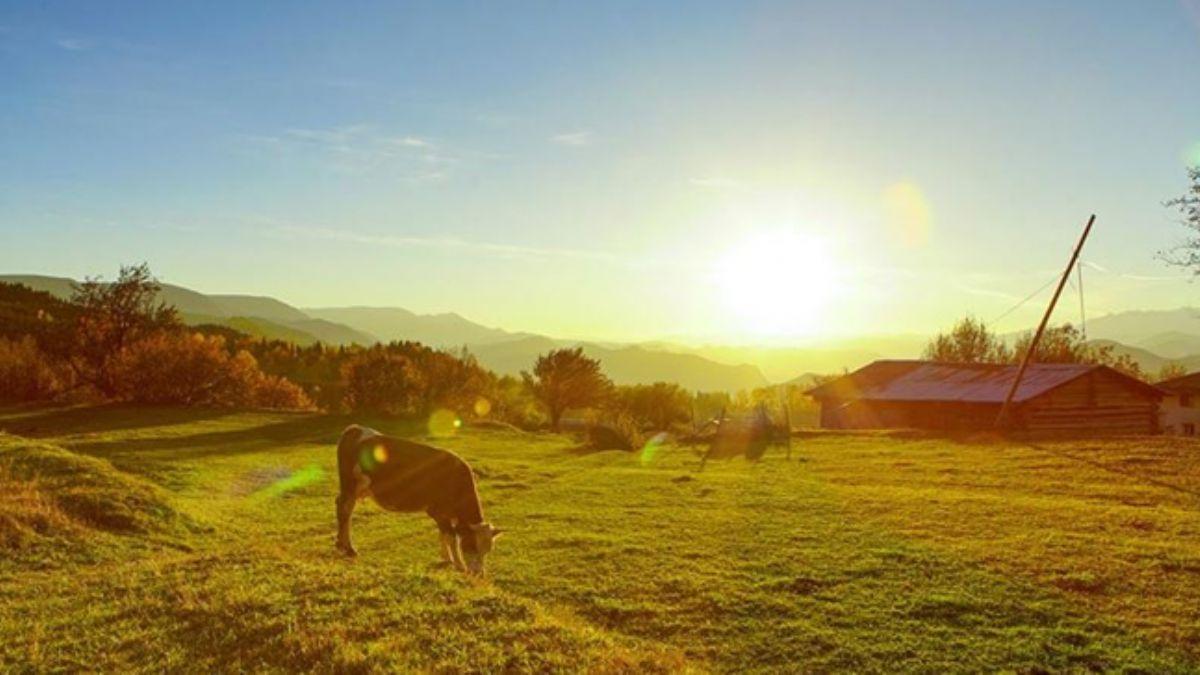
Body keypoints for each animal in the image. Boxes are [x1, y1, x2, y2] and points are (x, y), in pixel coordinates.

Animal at [336, 422, 504, 569]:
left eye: (488, 550)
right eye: (471, 546)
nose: (478, 574)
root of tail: (356, 429)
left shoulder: (447, 515)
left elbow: (444, 534)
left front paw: (446, 558)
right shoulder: (436, 510)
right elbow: (451, 536)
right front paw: (458, 564)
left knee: (345, 510)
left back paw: (343, 546)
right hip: (349, 485)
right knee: (344, 510)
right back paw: (348, 549)